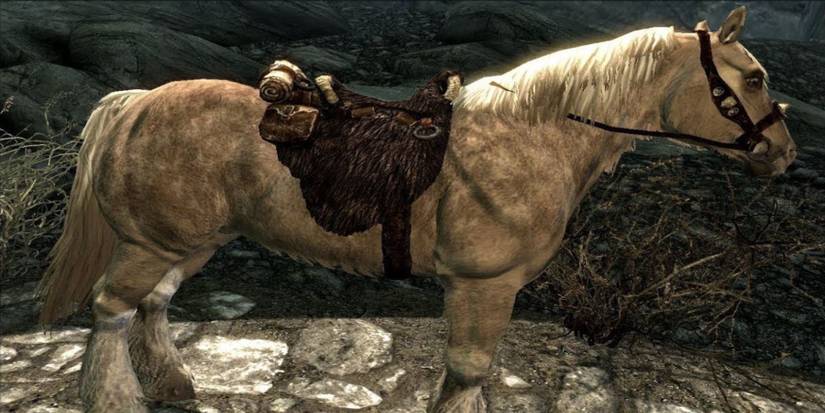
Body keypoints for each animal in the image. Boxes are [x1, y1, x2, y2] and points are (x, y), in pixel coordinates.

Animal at [36, 6, 795, 412]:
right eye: (754, 78)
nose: (783, 153)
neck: (534, 135)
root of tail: (137, 99)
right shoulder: (484, 286)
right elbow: (468, 370)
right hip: (154, 242)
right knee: (112, 310)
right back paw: (113, 397)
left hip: (187, 240)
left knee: (152, 305)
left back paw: (171, 381)